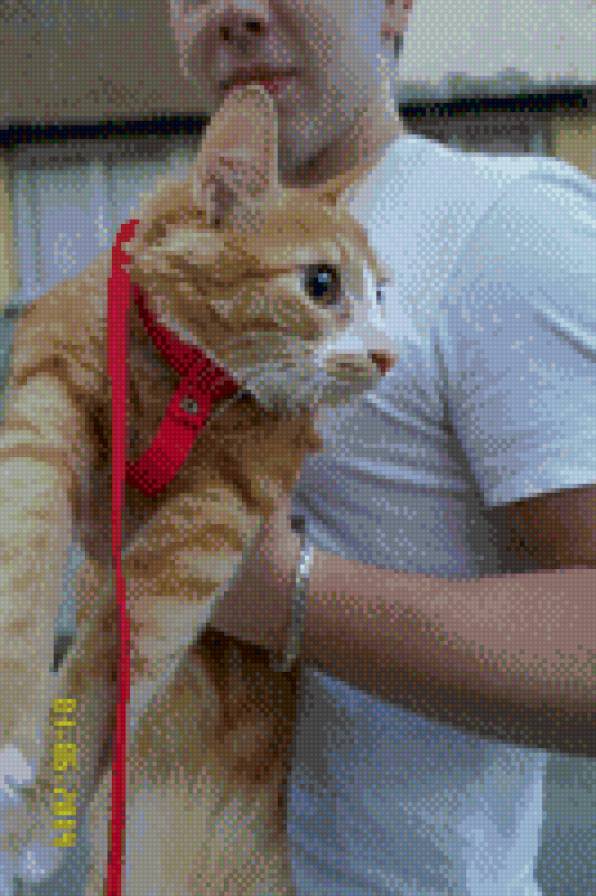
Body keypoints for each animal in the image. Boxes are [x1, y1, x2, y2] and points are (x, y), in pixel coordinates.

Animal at [0, 84, 396, 894]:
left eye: (380, 293)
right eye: (321, 284)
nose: (386, 355)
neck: (185, 379)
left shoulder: (218, 518)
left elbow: (122, 654)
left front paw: (44, 809)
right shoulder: (49, 389)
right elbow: (22, 554)